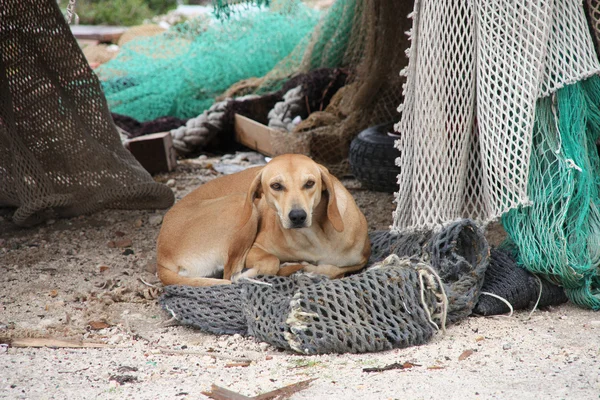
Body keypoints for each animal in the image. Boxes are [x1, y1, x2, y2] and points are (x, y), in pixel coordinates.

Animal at [156, 152, 370, 284]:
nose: (297, 216)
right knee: (230, 274)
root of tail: (161, 257)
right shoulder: (256, 249)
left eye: (310, 183)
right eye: (276, 186)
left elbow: (335, 269)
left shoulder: (360, 260)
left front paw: (311, 269)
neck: (315, 236)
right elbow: (271, 262)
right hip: (242, 206)